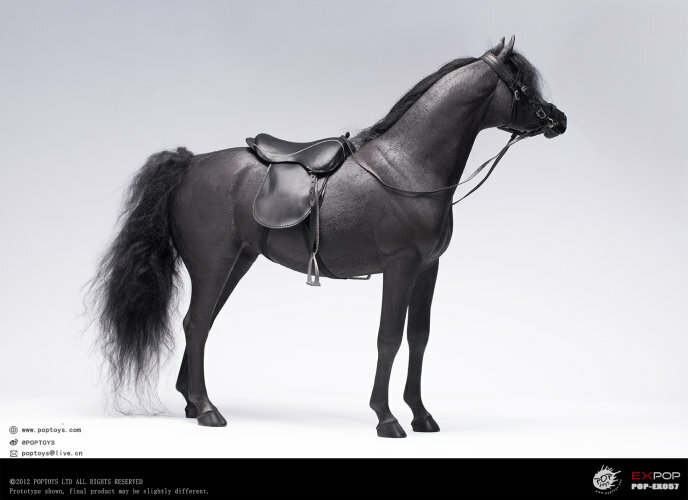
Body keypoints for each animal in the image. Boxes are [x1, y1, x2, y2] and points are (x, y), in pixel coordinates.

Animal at [90, 36, 567, 438]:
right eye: (522, 83)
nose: (558, 119)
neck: (408, 168)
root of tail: (190, 163)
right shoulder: (400, 267)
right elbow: (389, 338)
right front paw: (387, 417)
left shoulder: (428, 268)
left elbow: (419, 337)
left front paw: (421, 414)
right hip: (213, 265)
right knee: (195, 323)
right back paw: (207, 409)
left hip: (236, 263)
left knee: (200, 325)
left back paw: (192, 403)